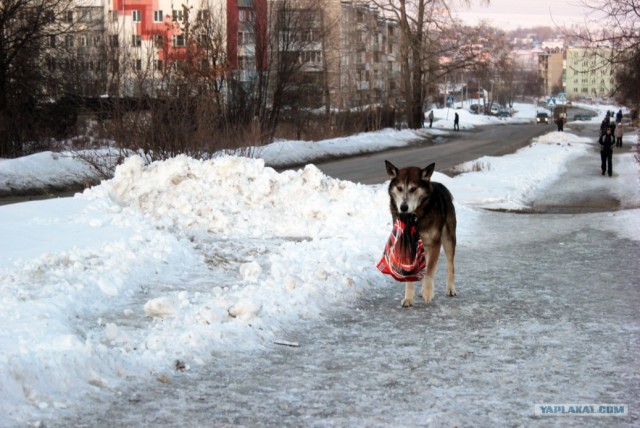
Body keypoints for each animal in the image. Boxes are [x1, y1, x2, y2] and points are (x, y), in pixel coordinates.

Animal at [382, 161, 458, 308]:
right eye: (399, 188)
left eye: (413, 189)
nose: (403, 207)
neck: (415, 217)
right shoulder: (406, 245)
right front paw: (408, 298)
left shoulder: (435, 243)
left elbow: (429, 271)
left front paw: (428, 294)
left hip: (448, 237)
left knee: (450, 264)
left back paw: (451, 289)